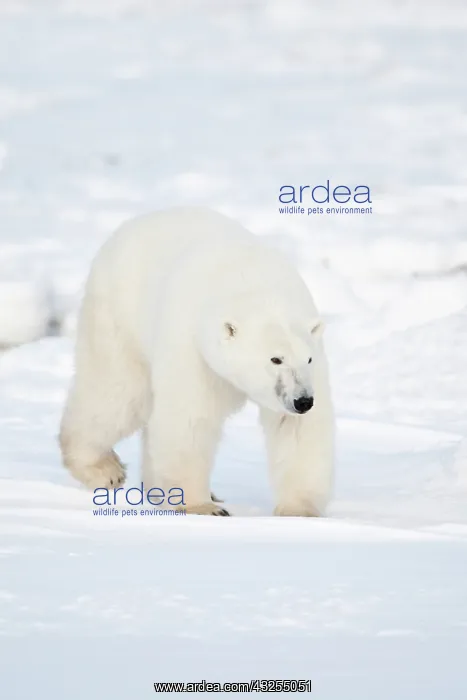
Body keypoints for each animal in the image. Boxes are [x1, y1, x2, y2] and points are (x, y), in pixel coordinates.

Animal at [60, 207, 334, 516]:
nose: (303, 401)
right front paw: (202, 506)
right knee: (118, 394)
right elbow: (190, 418)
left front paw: (299, 511)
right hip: (119, 317)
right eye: (275, 359)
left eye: (308, 358)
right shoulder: (191, 346)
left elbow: (298, 431)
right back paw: (104, 469)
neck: (251, 282)